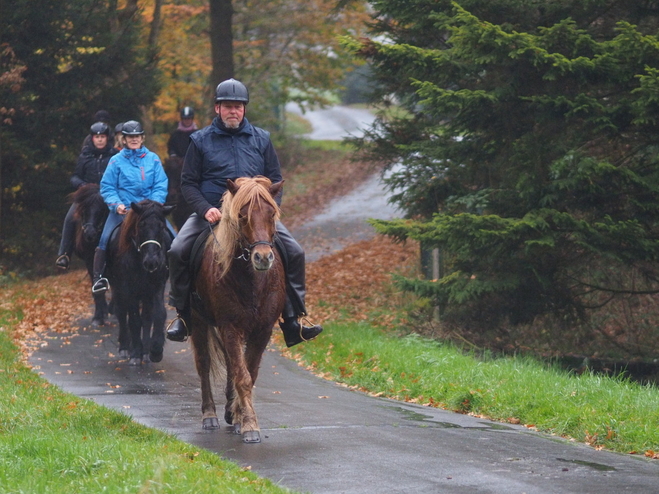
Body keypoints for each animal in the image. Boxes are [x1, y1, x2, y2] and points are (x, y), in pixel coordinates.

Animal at [70, 183, 109, 326]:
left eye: (101, 210)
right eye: (84, 210)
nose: (89, 234)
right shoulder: (89, 260)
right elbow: (96, 285)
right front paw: (98, 316)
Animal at [105, 199, 174, 364]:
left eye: (161, 227)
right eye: (141, 225)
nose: (151, 262)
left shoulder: (157, 286)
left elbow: (159, 314)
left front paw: (155, 350)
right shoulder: (129, 289)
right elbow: (134, 320)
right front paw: (136, 353)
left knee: (146, 318)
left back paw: (146, 351)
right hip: (118, 289)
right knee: (122, 313)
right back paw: (125, 347)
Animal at [189, 175, 284, 444]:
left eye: (271, 213)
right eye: (242, 215)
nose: (263, 257)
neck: (252, 281)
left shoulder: (262, 330)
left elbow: (248, 373)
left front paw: (241, 418)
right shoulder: (229, 327)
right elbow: (243, 377)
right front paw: (251, 425)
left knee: (232, 365)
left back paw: (231, 412)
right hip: (197, 321)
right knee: (204, 364)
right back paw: (210, 415)